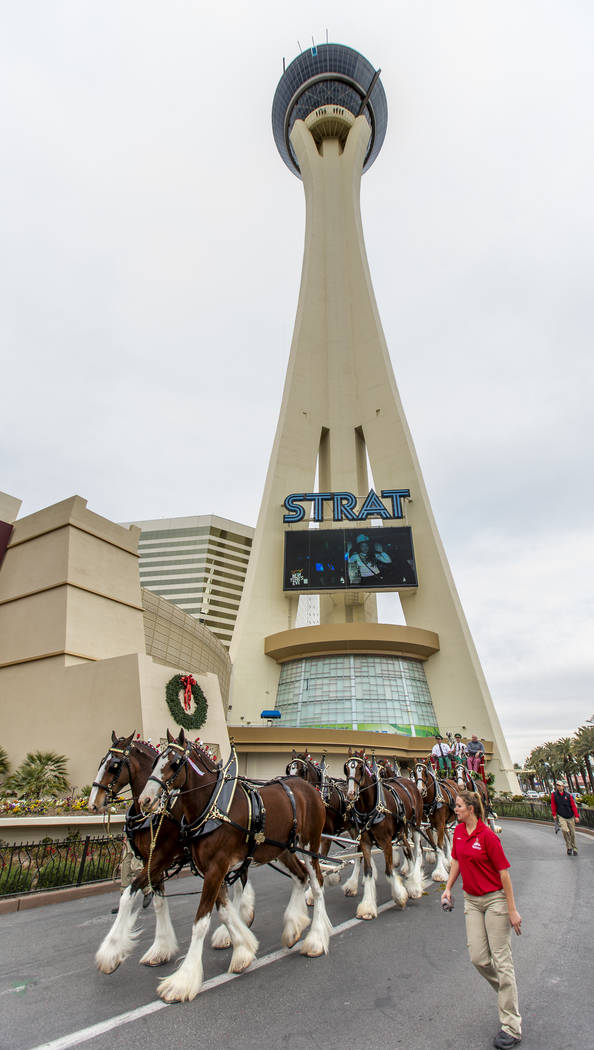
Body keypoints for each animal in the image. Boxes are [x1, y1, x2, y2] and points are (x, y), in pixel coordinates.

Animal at [139, 726, 333, 1003]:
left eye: (175, 763)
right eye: (156, 760)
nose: (145, 800)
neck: (213, 808)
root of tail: (309, 789)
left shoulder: (217, 866)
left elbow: (201, 922)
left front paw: (182, 981)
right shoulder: (210, 869)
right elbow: (224, 911)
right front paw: (244, 950)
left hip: (310, 844)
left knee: (316, 884)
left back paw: (316, 939)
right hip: (282, 848)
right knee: (300, 877)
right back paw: (293, 927)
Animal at [342, 747, 426, 919]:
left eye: (360, 767)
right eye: (346, 768)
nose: (351, 794)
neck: (369, 808)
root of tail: (409, 782)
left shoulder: (386, 841)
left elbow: (388, 870)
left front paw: (400, 896)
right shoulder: (365, 842)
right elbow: (368, 871)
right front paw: (367, 907)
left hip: (415, 825)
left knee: (418, 850)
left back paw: (415, 884)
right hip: (402, 832)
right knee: (409, 851)